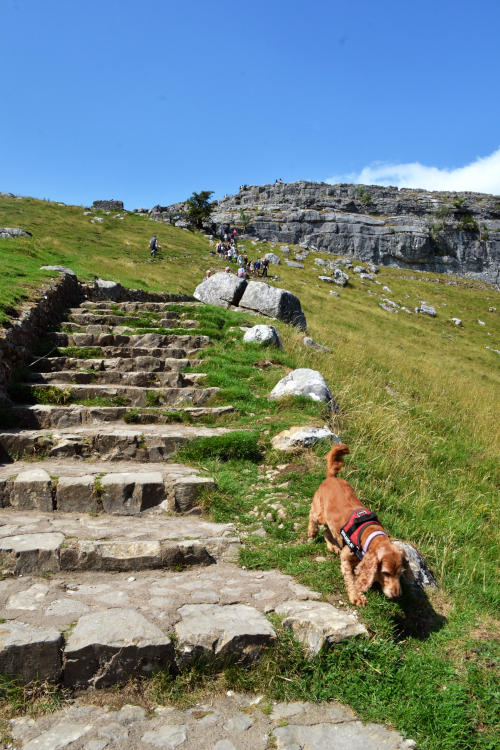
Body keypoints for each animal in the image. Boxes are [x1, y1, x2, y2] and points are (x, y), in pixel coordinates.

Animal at [306, 444, 412, 608]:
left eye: (400, 573)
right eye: (386, 573)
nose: (396, 595)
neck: (371, 535)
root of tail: (331, 477)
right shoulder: (345, 558)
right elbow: (351, 579)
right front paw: (357, 596)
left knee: (327, 532)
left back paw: (333, 546)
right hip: (320, 514)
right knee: (312, 516)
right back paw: (312, 532)